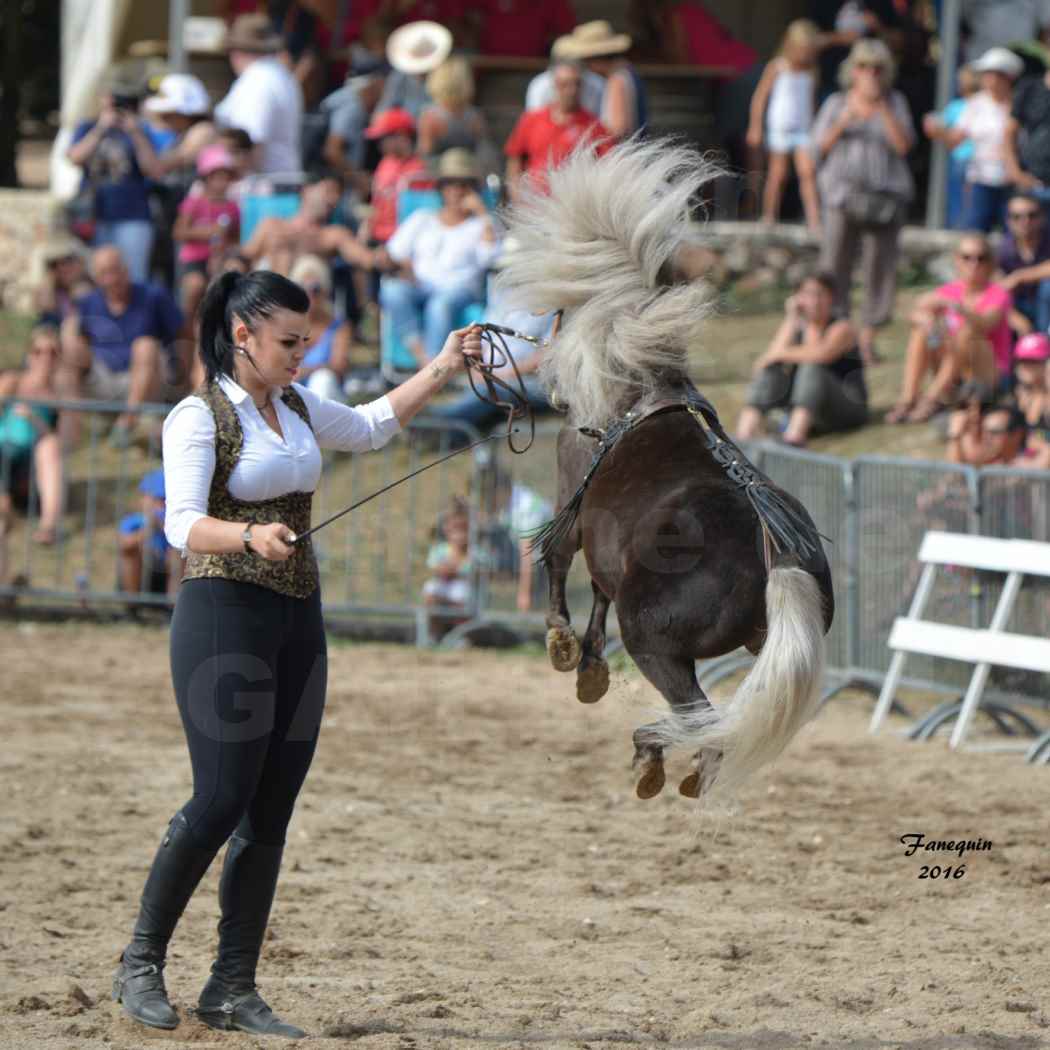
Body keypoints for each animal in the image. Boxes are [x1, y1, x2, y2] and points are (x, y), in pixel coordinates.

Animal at [495, 141, 831, 802]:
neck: (637, 391)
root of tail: (776, 554)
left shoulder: (572, 505)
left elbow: (558, 564)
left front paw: (563, 647)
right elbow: (598, 591)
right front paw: (590, 668)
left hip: (656, 644)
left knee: (700, 717)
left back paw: (655, 758)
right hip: (758, 650)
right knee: (721, 719)